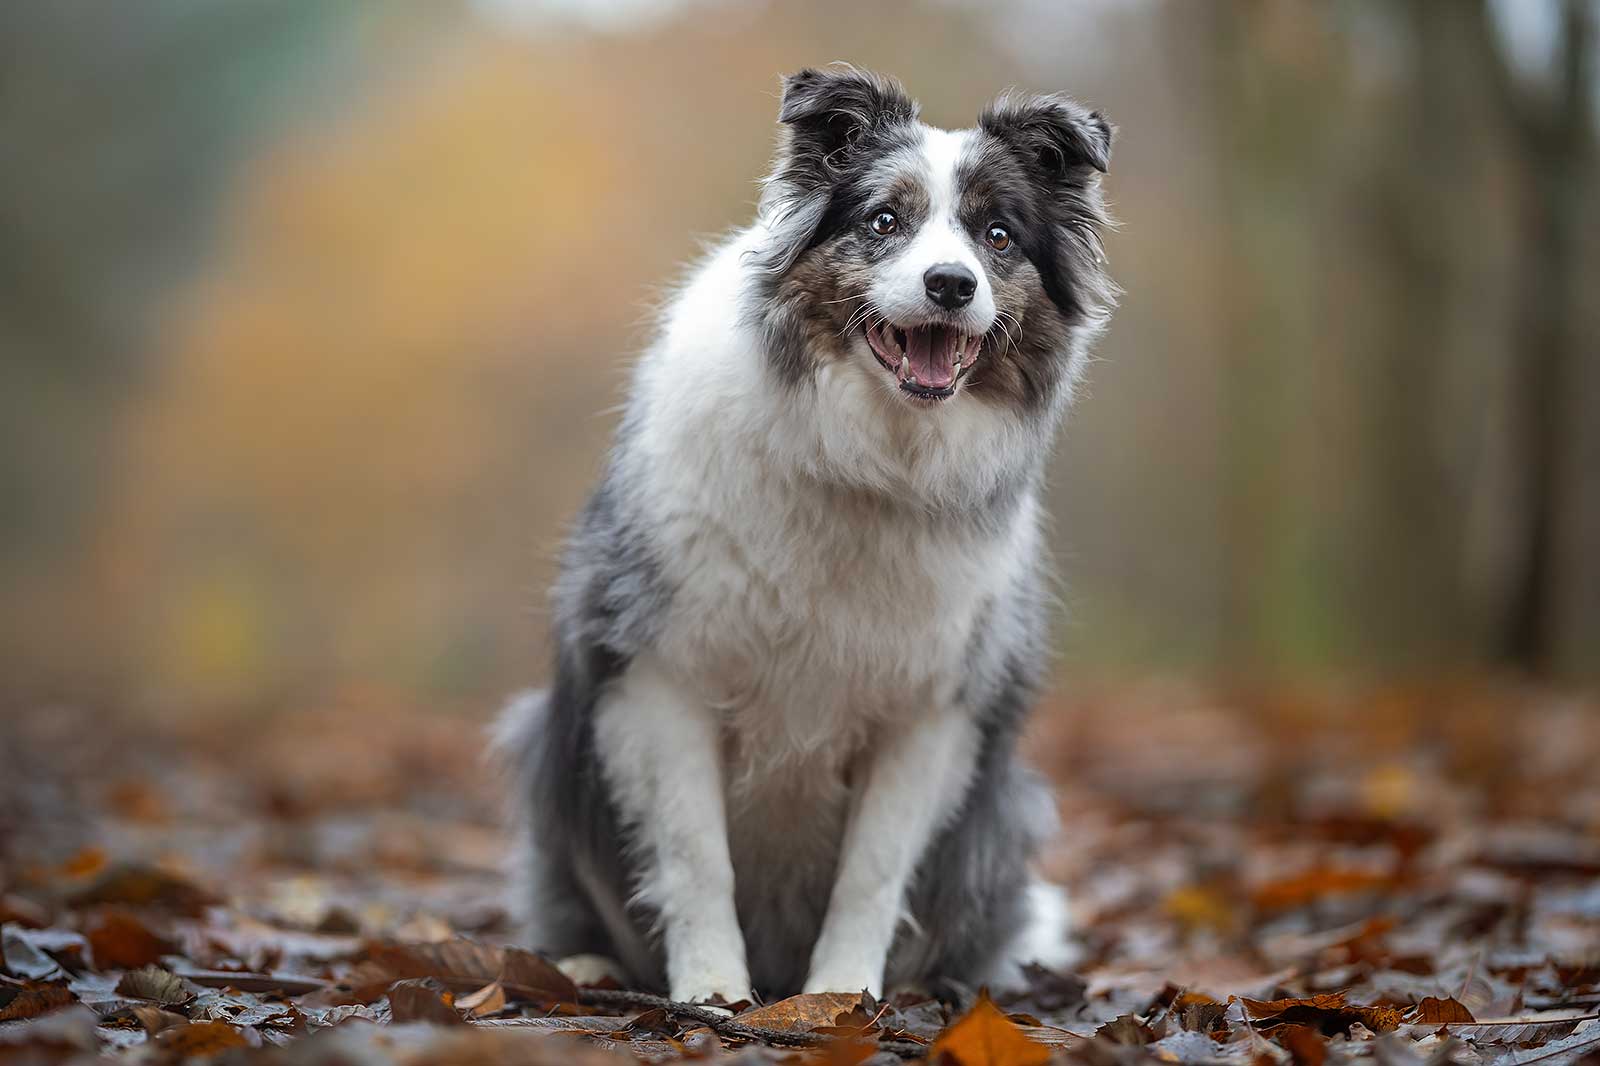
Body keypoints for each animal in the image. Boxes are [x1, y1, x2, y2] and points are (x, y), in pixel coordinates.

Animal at [496, 68, 1113, 1005]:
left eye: (997, 235)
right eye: (884, 222)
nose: (951, 284)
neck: (866, 457)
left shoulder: (931, 707)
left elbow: (874, 870)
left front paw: (841, 999)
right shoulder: (662, 672)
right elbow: (694, 857)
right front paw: (713, 991)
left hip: (1006, 813)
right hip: (546, 748)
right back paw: (578, 965)